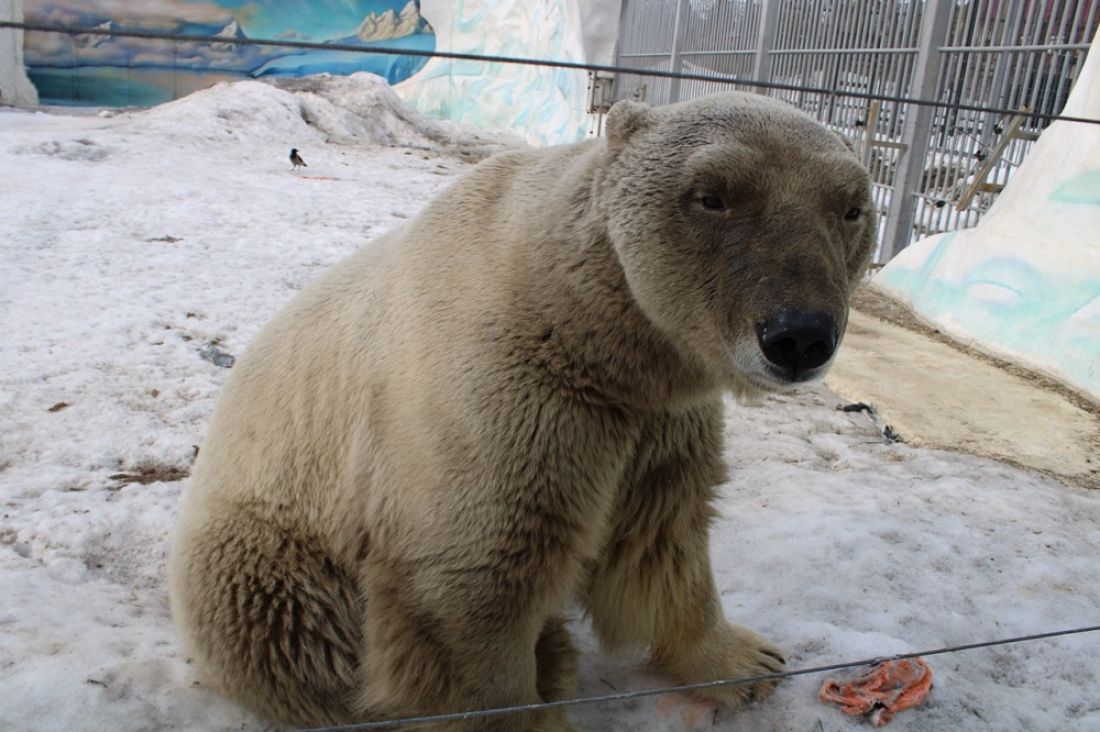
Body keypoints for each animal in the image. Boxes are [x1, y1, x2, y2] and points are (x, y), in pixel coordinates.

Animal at [171, 89, 875, 726]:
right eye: (712, 195)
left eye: (851, 207)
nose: (800, 336)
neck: (587, 333)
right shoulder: (507, 401)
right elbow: (472, 578)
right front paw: (527, 710)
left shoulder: (657, 417)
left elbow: (663, 535)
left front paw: (747, 662)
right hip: (271, 547)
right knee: (294, 635)